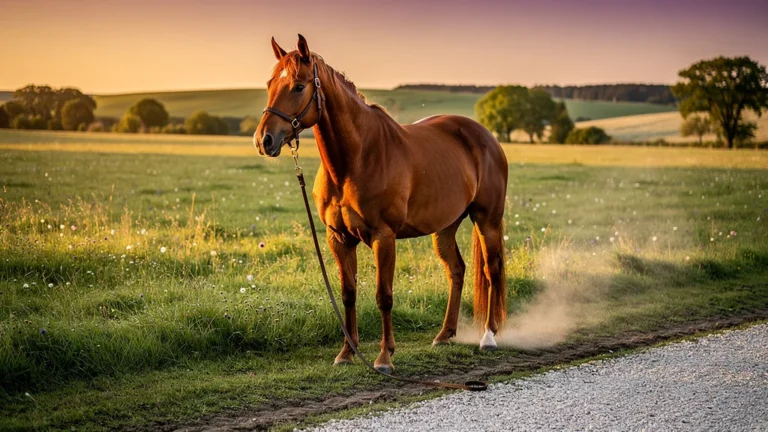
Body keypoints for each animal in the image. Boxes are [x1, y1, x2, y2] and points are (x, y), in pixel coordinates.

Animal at [254, 35, 508, 374]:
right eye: (270, 83)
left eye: (297, 86)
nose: (263, 140)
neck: (356, 159)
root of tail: (487, 137)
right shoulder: (339, 239)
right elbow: (348, 293)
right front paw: (347, 353)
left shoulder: (383, 237)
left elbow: (383, 296)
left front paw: (385, 357)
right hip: (445, 228)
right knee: (456, 270)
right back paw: (444, 335)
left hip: (486, 220)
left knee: (492, 271)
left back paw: (488, 337)